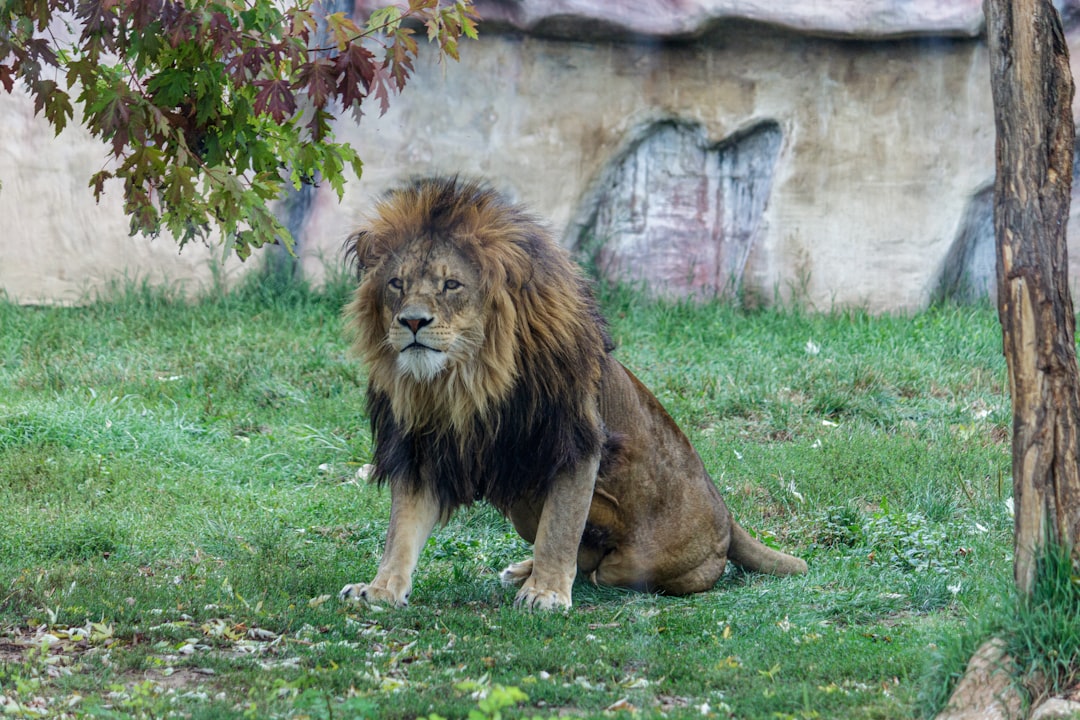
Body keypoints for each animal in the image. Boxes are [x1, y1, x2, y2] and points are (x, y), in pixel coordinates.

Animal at [339, 177, 806, 611]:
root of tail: (727, 516)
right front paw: (380, 588)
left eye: (451, 285)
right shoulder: (423, 449)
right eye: (396, 283)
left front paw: (545, 593)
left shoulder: (574, 440)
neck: (464, 381)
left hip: (638, 555)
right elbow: (402, 528)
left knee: (603, 565)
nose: (412, 321)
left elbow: (560, 528)